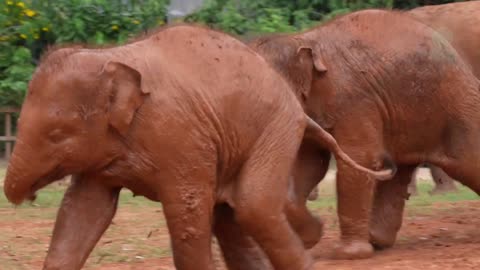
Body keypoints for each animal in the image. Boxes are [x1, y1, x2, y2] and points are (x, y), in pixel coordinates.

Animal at [249, 9, 480, 260]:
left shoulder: (354, 99)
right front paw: (313, 235)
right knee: (399, 171)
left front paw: (348, 255)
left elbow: (359, 158)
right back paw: (378, 241)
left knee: (467, 160)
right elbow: (310, 164)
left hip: (454, 104)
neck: (300, 39)